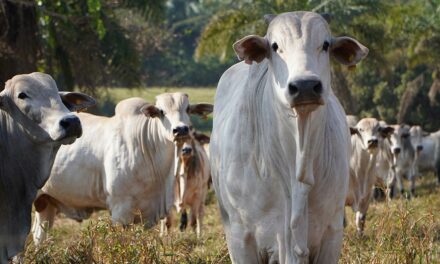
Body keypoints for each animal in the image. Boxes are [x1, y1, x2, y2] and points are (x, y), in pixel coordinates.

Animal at [31, 93, 212, 245]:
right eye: (161, 111)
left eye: (187, 109)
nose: (180, 129)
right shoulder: (120, 211)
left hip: (46, 203)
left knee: (39, 237)